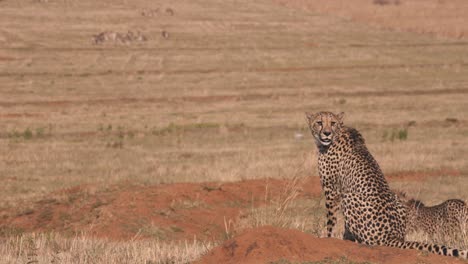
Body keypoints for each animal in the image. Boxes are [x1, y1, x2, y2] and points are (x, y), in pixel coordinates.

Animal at [306, 111, 466, 258]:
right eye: (319, 122)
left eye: (332, 123)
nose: (326, 133)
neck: (337, 134)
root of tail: (393, 236)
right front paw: (344, 239)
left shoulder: (331, 190)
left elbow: (331, 221)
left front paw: (329, 238)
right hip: (397, 200)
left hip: (349, 197)